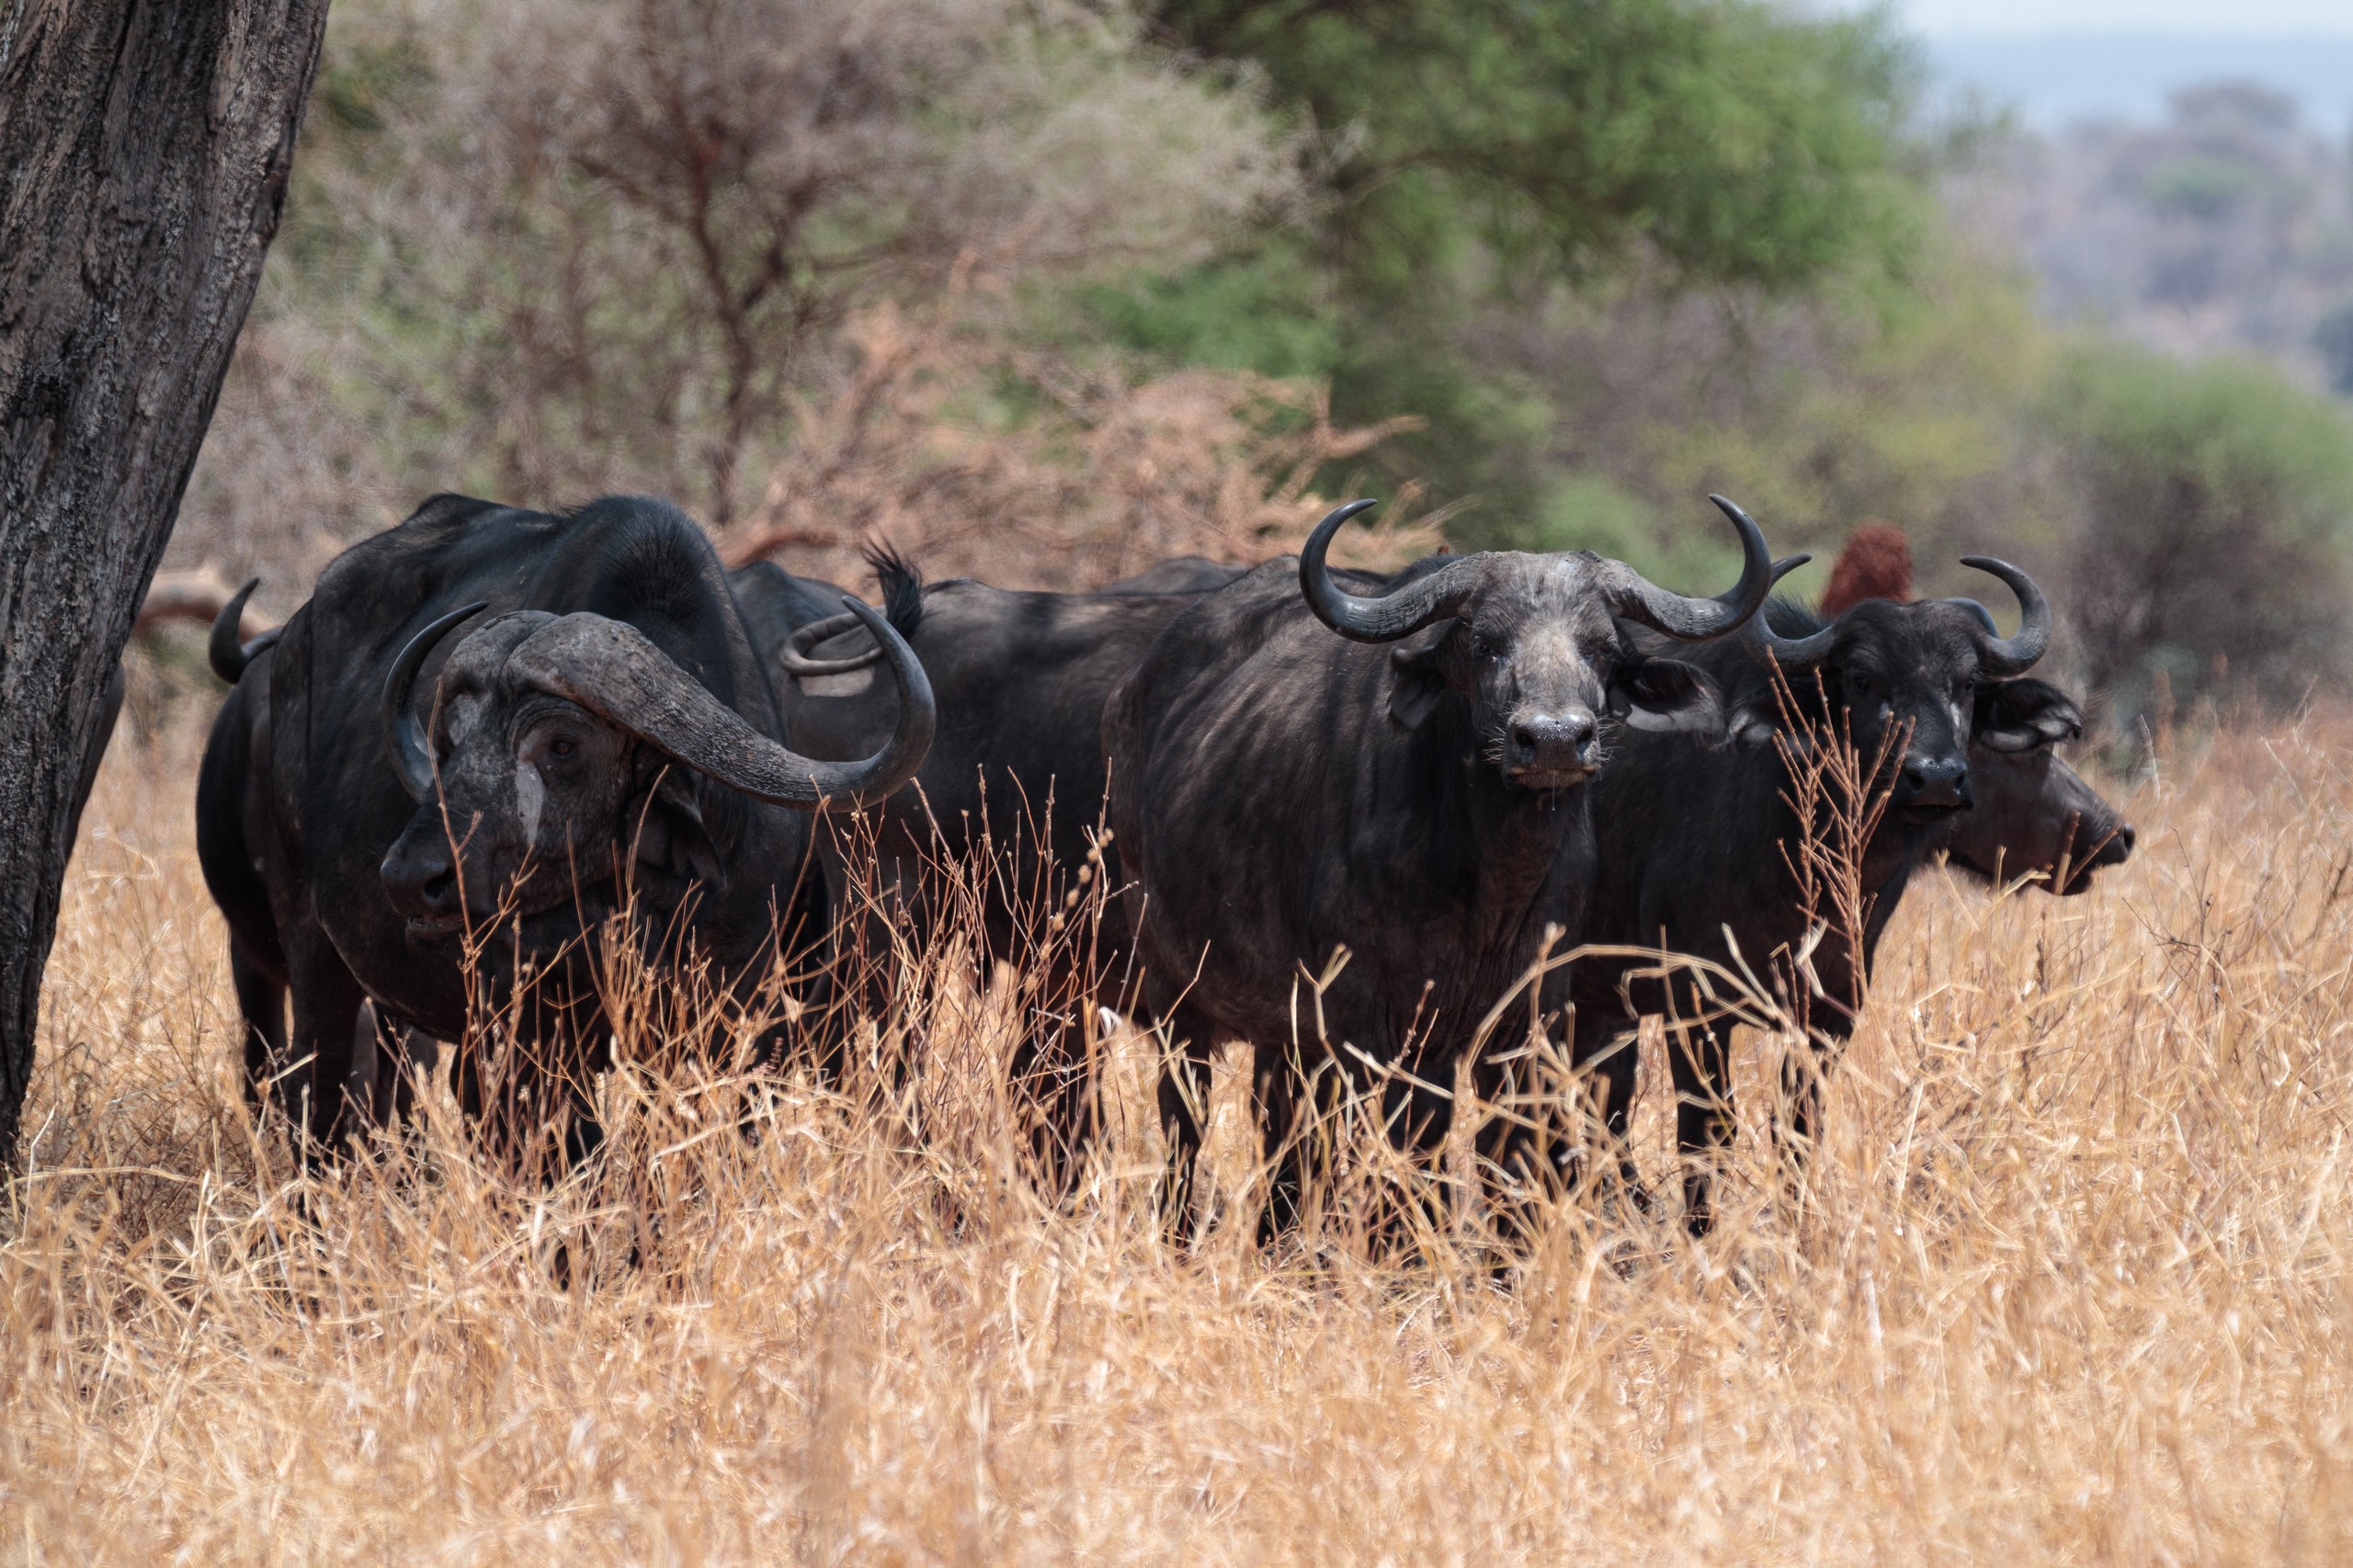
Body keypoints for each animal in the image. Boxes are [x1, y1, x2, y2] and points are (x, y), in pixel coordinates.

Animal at [194, 493, 932, 1168]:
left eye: (562, 746)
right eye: (448, 741)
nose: (410, 879)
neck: (633, 909)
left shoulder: (716, 1022)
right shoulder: (526, 1042)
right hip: (312, 955)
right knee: (313, 1101)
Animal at [1104, 496, 1781, 1246]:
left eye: (1603, 649)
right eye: (1485, 644)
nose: (1553, 739)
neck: (1488, 884)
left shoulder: (1526, 1021)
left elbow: (1507, 1162)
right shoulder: (1374, 1025)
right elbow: (1408, 1149)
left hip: (1284, 1033)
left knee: (1283, 1132)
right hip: (1176, 998)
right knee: (1188, 1122)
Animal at [1540, 556, 2110, 1235]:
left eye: (1968, 684)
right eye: (1862, 678)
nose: (1936, 779)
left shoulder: (1830, 1014)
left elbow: (1798, 1130)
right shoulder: (1695, 1005)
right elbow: (1705, 1132)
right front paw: (1703, 1234)